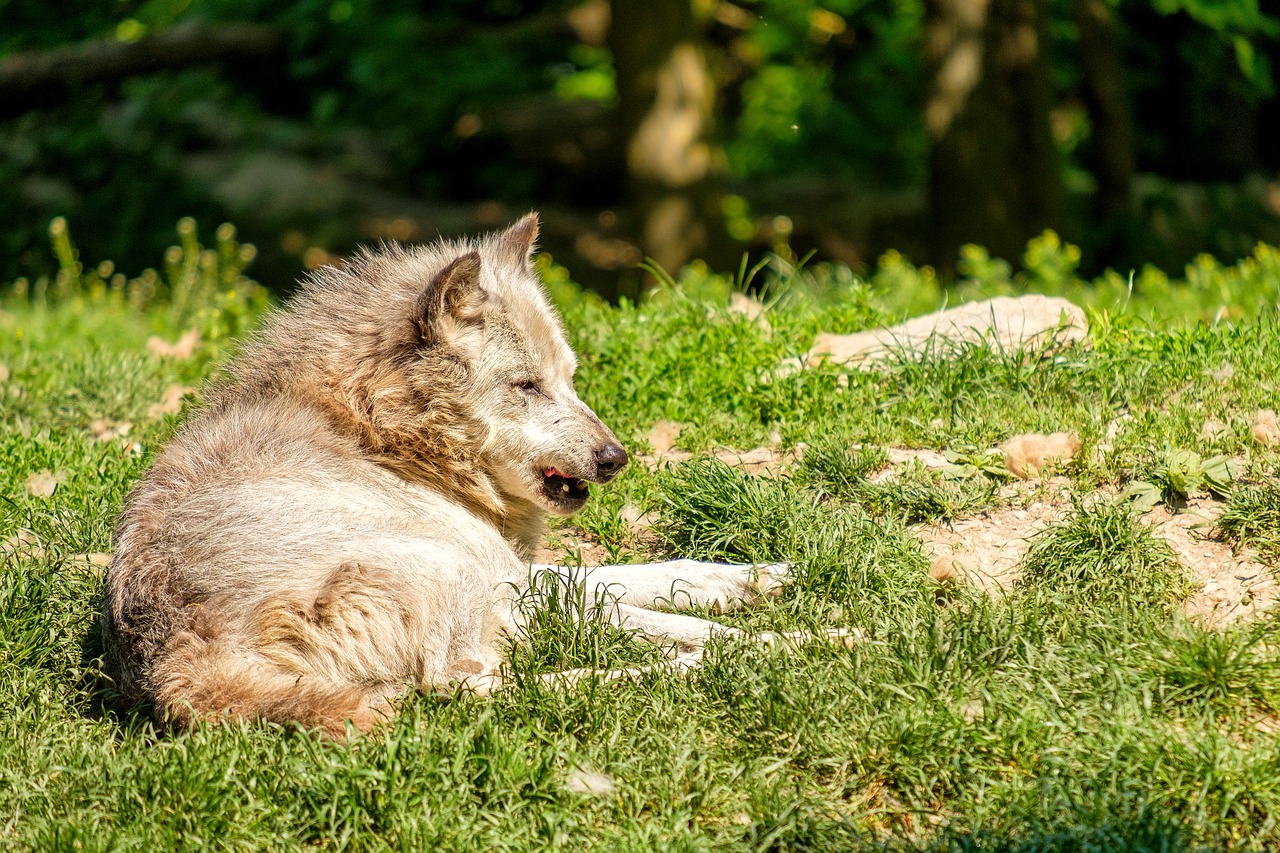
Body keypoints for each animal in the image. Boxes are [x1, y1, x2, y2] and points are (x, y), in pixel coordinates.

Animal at [101, 214, 842, 737]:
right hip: (458, 584)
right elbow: (658, 611)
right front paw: (783, 636)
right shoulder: (508, 583)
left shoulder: (520, 574)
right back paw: (759, 653)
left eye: (571, 378)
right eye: (526, 385)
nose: (615, 458)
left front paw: (765, 578)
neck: (379, 433)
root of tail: (182, 668)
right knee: (477, 690)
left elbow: (663, 573)